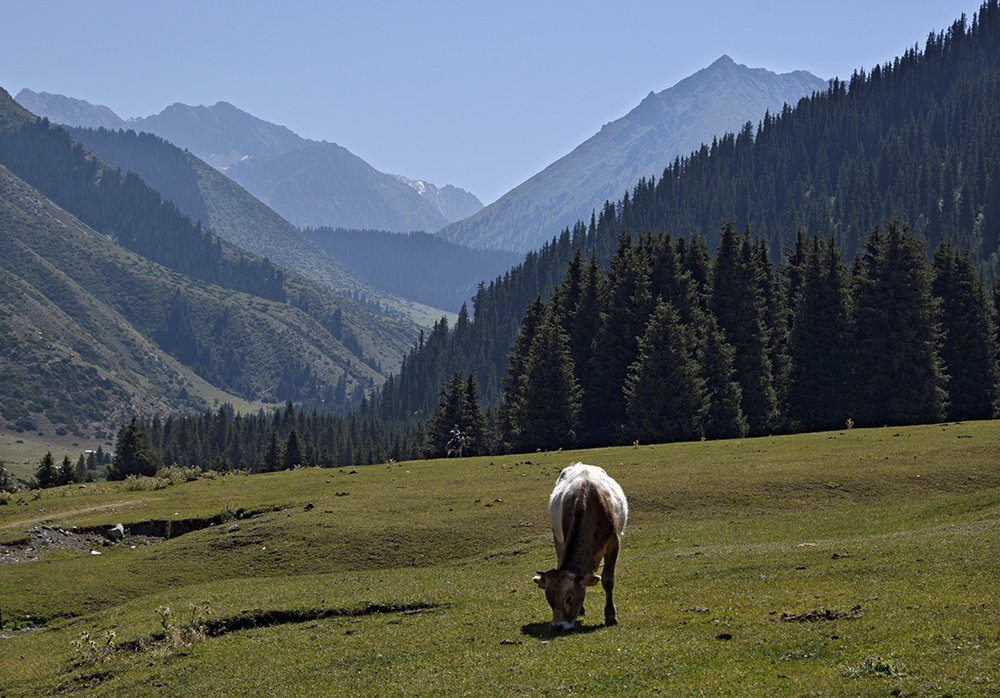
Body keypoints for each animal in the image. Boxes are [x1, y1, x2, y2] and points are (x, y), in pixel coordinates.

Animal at [532, 462, 624, 632]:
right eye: (549, 598)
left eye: (569, 598)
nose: (557, 626)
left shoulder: (614, 544)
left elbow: (608, 581)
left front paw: (610, 616)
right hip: (557, 537)